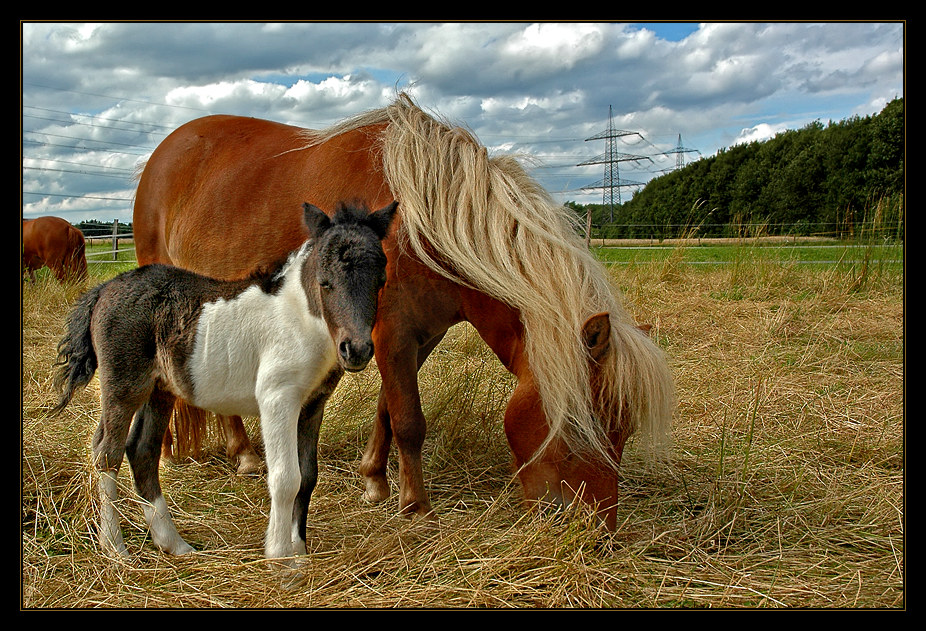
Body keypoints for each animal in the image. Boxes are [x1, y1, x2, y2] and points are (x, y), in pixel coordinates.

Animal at [51, 202, 396, 564]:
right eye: (325, 282)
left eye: (381, 280)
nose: (356, 350)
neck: (301, 317)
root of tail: (104, 289)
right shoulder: (278, 397)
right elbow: (286, 477)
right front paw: (280, 557)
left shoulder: (313, 403)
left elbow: (307, 476)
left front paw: (300, 554)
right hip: (123, 386)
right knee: (107, 453)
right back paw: (115, 547)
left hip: (160, 390)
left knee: (141, 450)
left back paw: (173, 544)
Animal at [132, 92, 676, 528]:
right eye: (583, 425)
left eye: (624, 428)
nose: (597, 530)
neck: (421, 225)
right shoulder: (388, 332)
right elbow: (410, 419)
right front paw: (417, 507)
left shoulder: (416, 336)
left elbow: (388, 412)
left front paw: (375, 481)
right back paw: (189, 455)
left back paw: (240, 453)